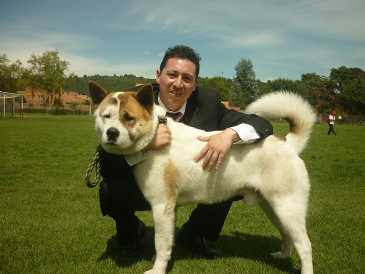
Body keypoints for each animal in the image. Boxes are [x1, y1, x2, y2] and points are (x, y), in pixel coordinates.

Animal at [89, 81, 316, 274]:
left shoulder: (162, 207)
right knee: (287, 235)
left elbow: (161, 244)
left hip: (287, 207)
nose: (111, 133)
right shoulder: (169, 210)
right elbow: (168, 241)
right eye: (106, 116)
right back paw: (282, 255)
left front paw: (157, 270)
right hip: (273, 207)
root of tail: (287, 143)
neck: (155, 135)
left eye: (129, 118)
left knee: (305, 245)